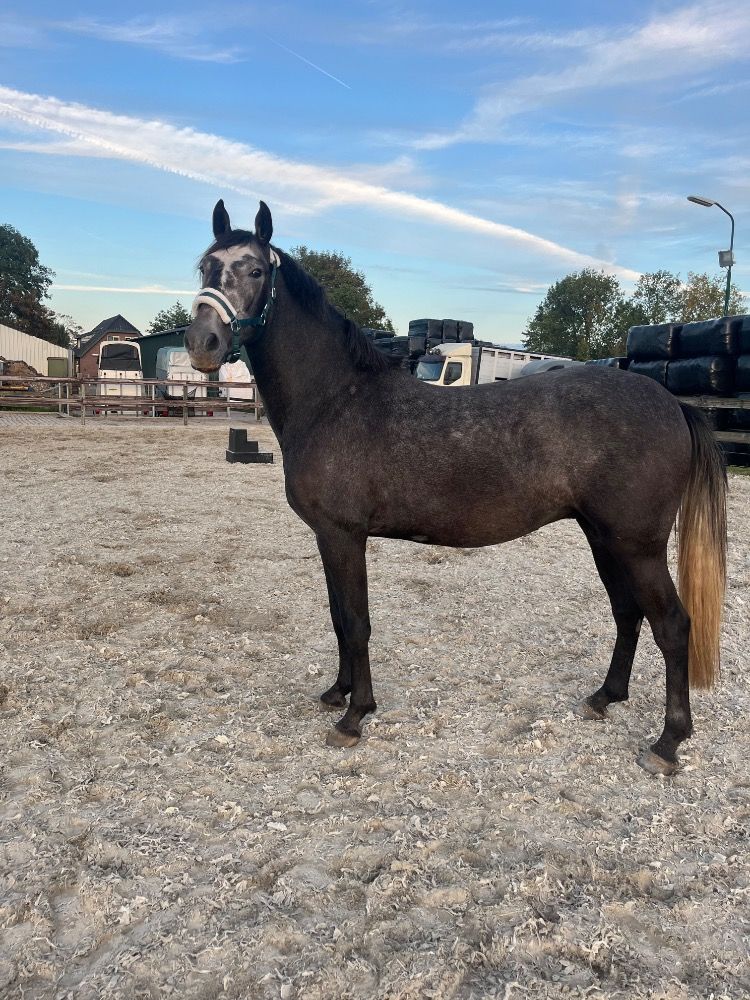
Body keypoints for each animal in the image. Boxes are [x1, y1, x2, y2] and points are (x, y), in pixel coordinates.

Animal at [184, 199, 727, 775]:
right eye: (205, 266)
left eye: (255, 270)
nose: (201, 343)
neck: (336, 399)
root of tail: (673, 404)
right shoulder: (328, 538)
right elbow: (337, 618)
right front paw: (337, 692)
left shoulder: (343, 536)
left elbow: (356, 622)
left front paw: (355, 716)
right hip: (605, 538)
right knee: (627, 613)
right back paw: (604, 698)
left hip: (637, 545)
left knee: (672, 624)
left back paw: (668, 742)